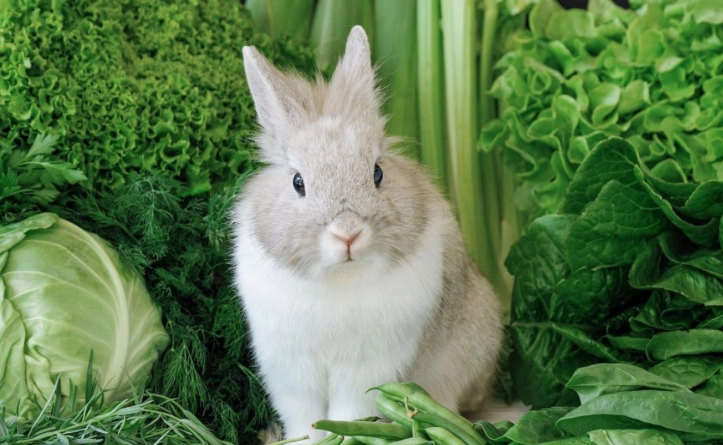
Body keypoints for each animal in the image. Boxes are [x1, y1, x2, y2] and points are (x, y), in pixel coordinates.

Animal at [231, 26, 503, 443]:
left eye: (377, 173)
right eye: (298, 182)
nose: (347, 235)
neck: (339, 278)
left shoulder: (367, 367)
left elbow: (347, 412)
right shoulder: (290, 369)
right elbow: (304, 419)